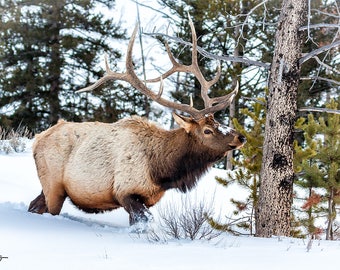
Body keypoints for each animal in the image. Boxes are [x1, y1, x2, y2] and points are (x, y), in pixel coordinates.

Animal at [27, 17, 246, 226]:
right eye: (207, 130)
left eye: (219, 122)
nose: (240, 137)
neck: (161, 172)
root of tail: (37, 138)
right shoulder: (126, 192)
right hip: (53, 184)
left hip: (48, 186)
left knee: (34, 204)